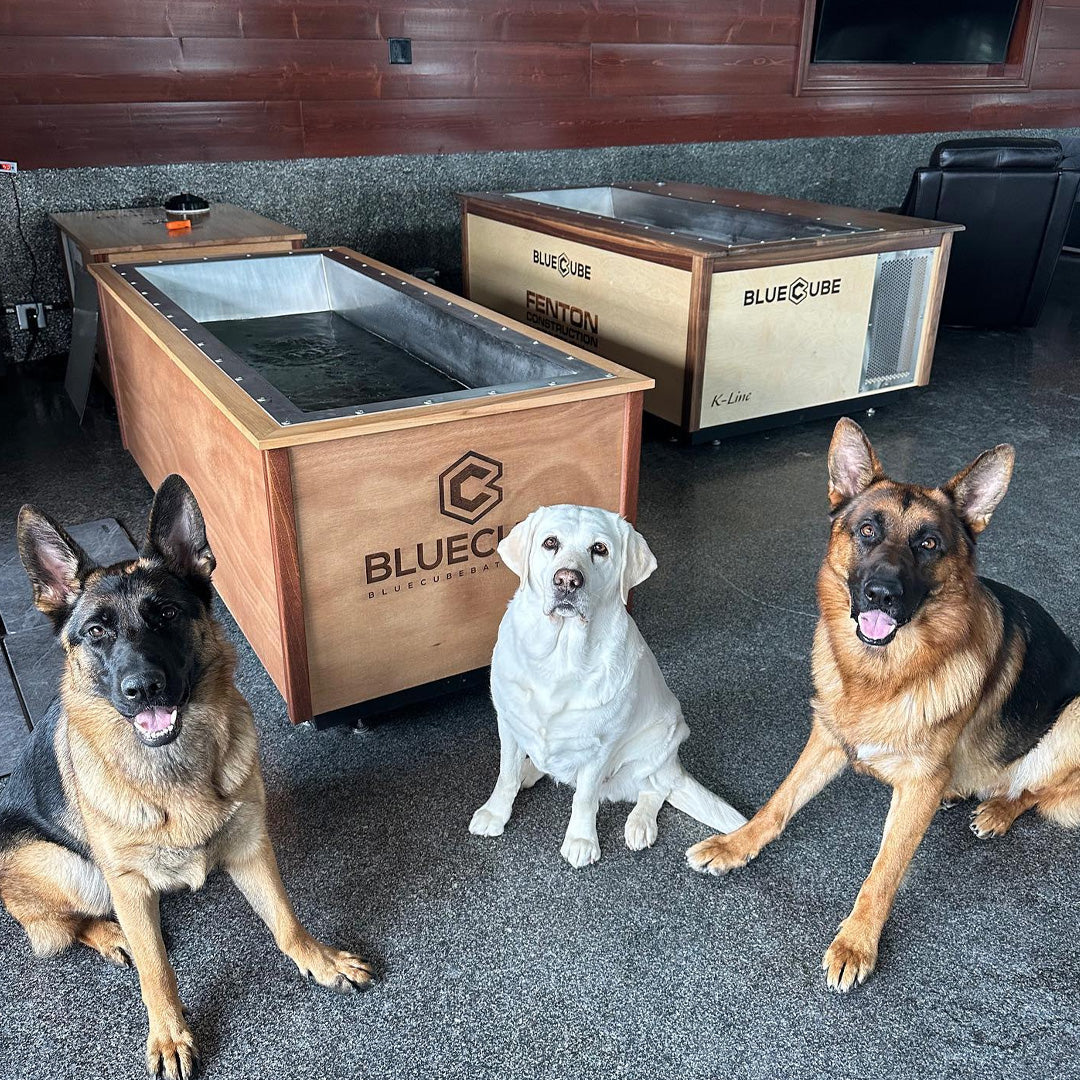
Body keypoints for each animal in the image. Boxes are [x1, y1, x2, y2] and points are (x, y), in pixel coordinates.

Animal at [0, 479, 373, 1080]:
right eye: (97, 632)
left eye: (167, 614)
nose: (143, 687)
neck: (172, 769)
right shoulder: (127, 883)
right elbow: (156, 971)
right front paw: (169, 1034)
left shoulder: (251, 845)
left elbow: (285, 918)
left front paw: (318, 958)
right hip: (70, 868)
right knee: (61, 927)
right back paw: (112, 935)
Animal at [468, 505, 747, 868]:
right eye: (550, 542)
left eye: (599, 549)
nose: (567, 580)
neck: (560, 656)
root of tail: (675, 765)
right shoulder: (510, 724)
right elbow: (506, 775)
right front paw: (495, 813)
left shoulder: (600, 746)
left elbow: (585, 798)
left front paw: (581, 840)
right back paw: (533, 770)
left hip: (660, 741)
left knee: (655, 789)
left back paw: (640, 824)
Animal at [686, 416, 1080, 989]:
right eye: (868, 530)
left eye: (929, 543)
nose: (881, 594)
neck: (881, 676)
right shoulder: (828, 739)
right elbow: (779, 802)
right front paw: (736, 842)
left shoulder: (915, 788)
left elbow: (885, 869)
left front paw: (857, 942)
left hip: (1073, 718)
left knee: (1035, 789)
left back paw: (997, 810)